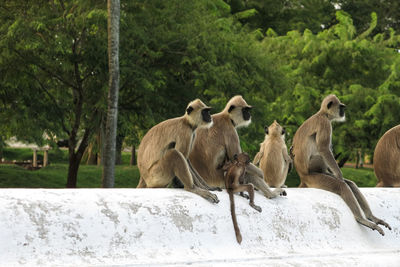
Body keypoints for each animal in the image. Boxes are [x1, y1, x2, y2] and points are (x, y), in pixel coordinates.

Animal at [290, 94, 390, 237]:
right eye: (341, 107)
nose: (343, 111)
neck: (322, 114)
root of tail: (302, 175)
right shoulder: (325, 124)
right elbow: (324, 149)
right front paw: (338, 174)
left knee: (350, 184)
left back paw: (371, 218)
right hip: (313, 175)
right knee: (340, 184)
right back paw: (361, 219)